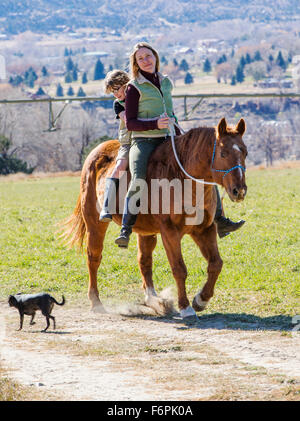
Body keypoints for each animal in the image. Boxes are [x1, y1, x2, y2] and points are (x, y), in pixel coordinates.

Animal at [62, 116, 247, 320]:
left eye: (245, 152)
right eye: (223, 153)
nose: (239, 191)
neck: (182, 178)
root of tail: (95, 154)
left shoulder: (204, 230)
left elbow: (216, 264)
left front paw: (201, 300)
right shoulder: (170, 232)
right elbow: (179, 269)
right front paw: (186, 307)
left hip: (146, 232)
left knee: (144, 261)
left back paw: (154, 300)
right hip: (95, 225)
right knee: (93, 258)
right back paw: (96, 302)